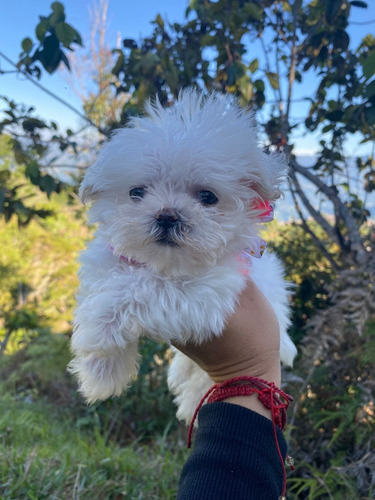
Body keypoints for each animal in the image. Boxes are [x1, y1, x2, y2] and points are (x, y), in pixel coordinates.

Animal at [68, 90, 296, 422]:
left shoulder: (209, 294)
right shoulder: (104, 262)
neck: (165, 263)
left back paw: (190, 403)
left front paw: (100, 327)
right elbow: (106, 287)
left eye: (207, 197)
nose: (167, 216)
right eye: (136, 192)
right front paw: (100, 374)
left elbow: (143, 289)